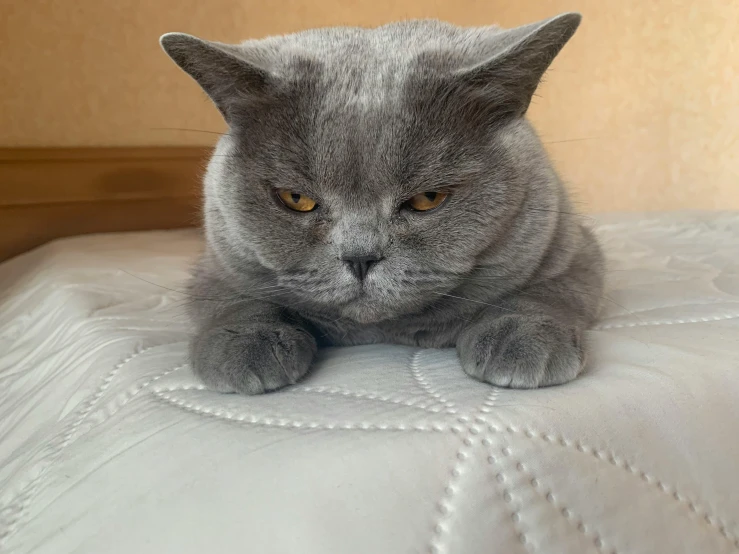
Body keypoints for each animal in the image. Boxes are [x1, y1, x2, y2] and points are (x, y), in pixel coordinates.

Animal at [159, 11, 604, 392]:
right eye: (296, 199)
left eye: (427, 199)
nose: (360, 258)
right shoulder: (218, 262)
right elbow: (232, 298)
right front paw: (246, 344)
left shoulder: (570, 245)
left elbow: (552, 287)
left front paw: (520, 338)